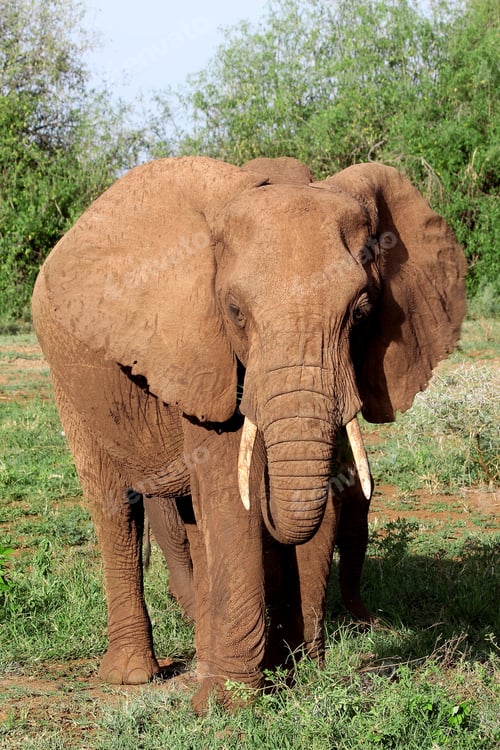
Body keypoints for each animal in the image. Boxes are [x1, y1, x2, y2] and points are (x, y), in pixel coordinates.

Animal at [31, 155, 466, 712]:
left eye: (361, 312)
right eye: (236, 312)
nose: (377, 627)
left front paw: (293, 677)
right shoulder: (203, 349)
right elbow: (229, 494)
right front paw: (228, 704)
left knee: (191, 517)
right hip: (66, 373)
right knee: (115, 505)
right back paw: (133, 676)